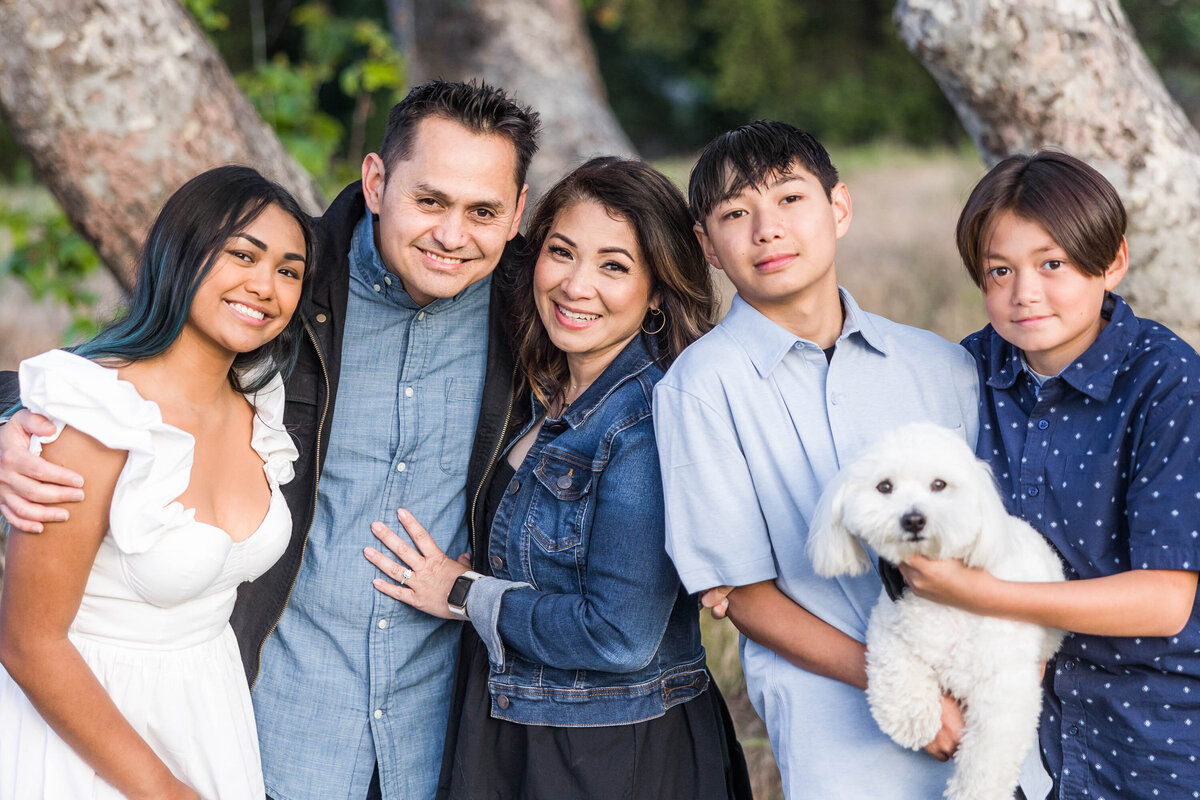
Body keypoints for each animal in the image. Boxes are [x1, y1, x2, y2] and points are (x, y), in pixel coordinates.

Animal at [806, 422, 1060, 800]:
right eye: (885, 487)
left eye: (939, 485)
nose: (913, 519)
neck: (944, 604)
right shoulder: (890, 621)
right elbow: (895, 664)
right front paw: (911, 719)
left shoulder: (1004, 688)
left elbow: (988, 755)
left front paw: (973, 791)